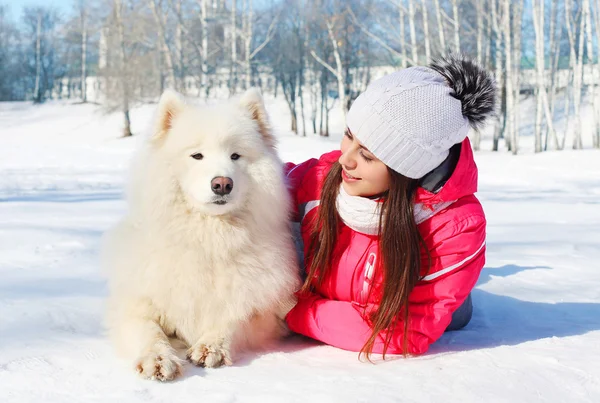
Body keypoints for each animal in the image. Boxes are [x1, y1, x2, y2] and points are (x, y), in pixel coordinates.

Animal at [103, 87, 302, 382]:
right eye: (197, 156)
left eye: (235, 156)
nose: (222, 184)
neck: (209, 240)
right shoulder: (135, 305)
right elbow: (149, 330)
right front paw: (158, 358)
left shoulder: (263, 312)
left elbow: (234, 318)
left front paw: (212, 346)